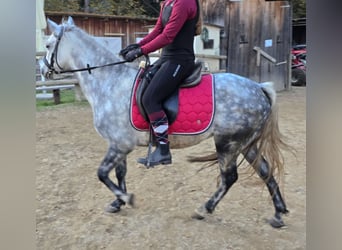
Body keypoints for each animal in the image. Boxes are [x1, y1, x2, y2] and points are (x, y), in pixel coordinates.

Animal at [40, 17, 292, 229]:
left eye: (48, 45)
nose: (42, 70)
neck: (110, 82)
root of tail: (258, 87)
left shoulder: (120, 145)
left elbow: (102, 173)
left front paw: (126, 198)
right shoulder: (118, 144)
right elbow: (120, 173)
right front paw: (117, 203)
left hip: (228, 144)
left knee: (229, 178)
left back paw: (204, 209)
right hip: (245, 145)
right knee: (265, 171)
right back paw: (278, 214)